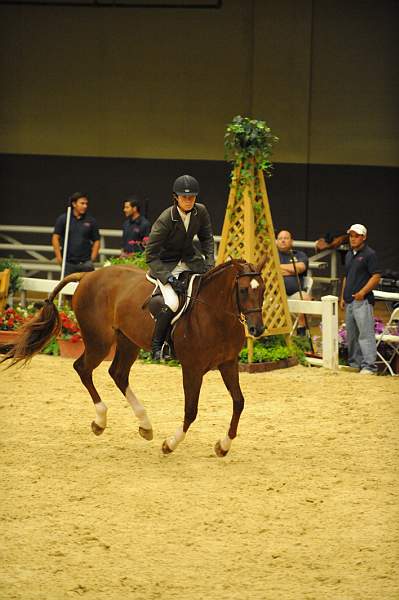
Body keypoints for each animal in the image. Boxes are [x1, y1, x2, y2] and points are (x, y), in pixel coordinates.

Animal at [3, 256, 268, 454]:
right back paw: (100, 420)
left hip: (127, 341)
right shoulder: (192, 369)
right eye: (243, 290)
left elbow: (239, 402)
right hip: (100, 342)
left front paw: (223, 445)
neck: (214, 315)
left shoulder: (228, 364)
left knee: (118, 374)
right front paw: (170, 444)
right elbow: (191, 410)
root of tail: (88, 276)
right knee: (83, 368)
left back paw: (145, 425)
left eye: (263, 289)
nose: (257, 329)